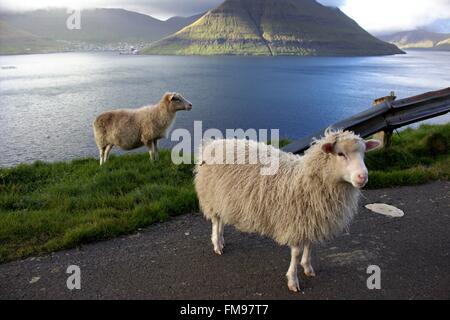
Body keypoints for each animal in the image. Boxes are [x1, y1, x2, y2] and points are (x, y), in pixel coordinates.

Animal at [193, 130, 380, 292]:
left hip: (223, 198)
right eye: (340, 154)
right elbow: (296, 253)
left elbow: (309, 245)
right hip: (211, 196)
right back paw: (217, 244)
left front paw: (308, 268)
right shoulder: (296, 221)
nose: (363, 177)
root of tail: (211, 144)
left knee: (221, 220)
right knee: (216, 221)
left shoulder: (312, 219)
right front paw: (293, 280)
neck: (306, 180)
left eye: (364, 153)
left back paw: (222, 240)